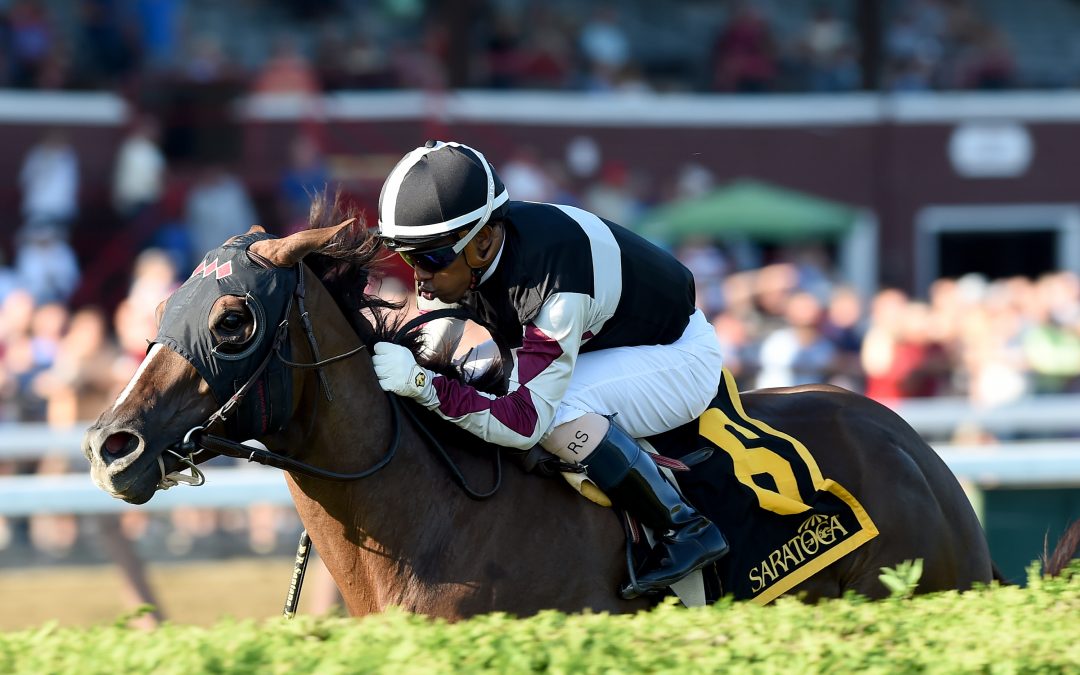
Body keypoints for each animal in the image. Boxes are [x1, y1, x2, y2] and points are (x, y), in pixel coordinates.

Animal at [82, 197, 1071, 617]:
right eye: (159, 306)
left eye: (232, 318)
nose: (109, 443)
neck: (429, 520)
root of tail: (919, 450)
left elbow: (538, 408)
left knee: (582, 419)